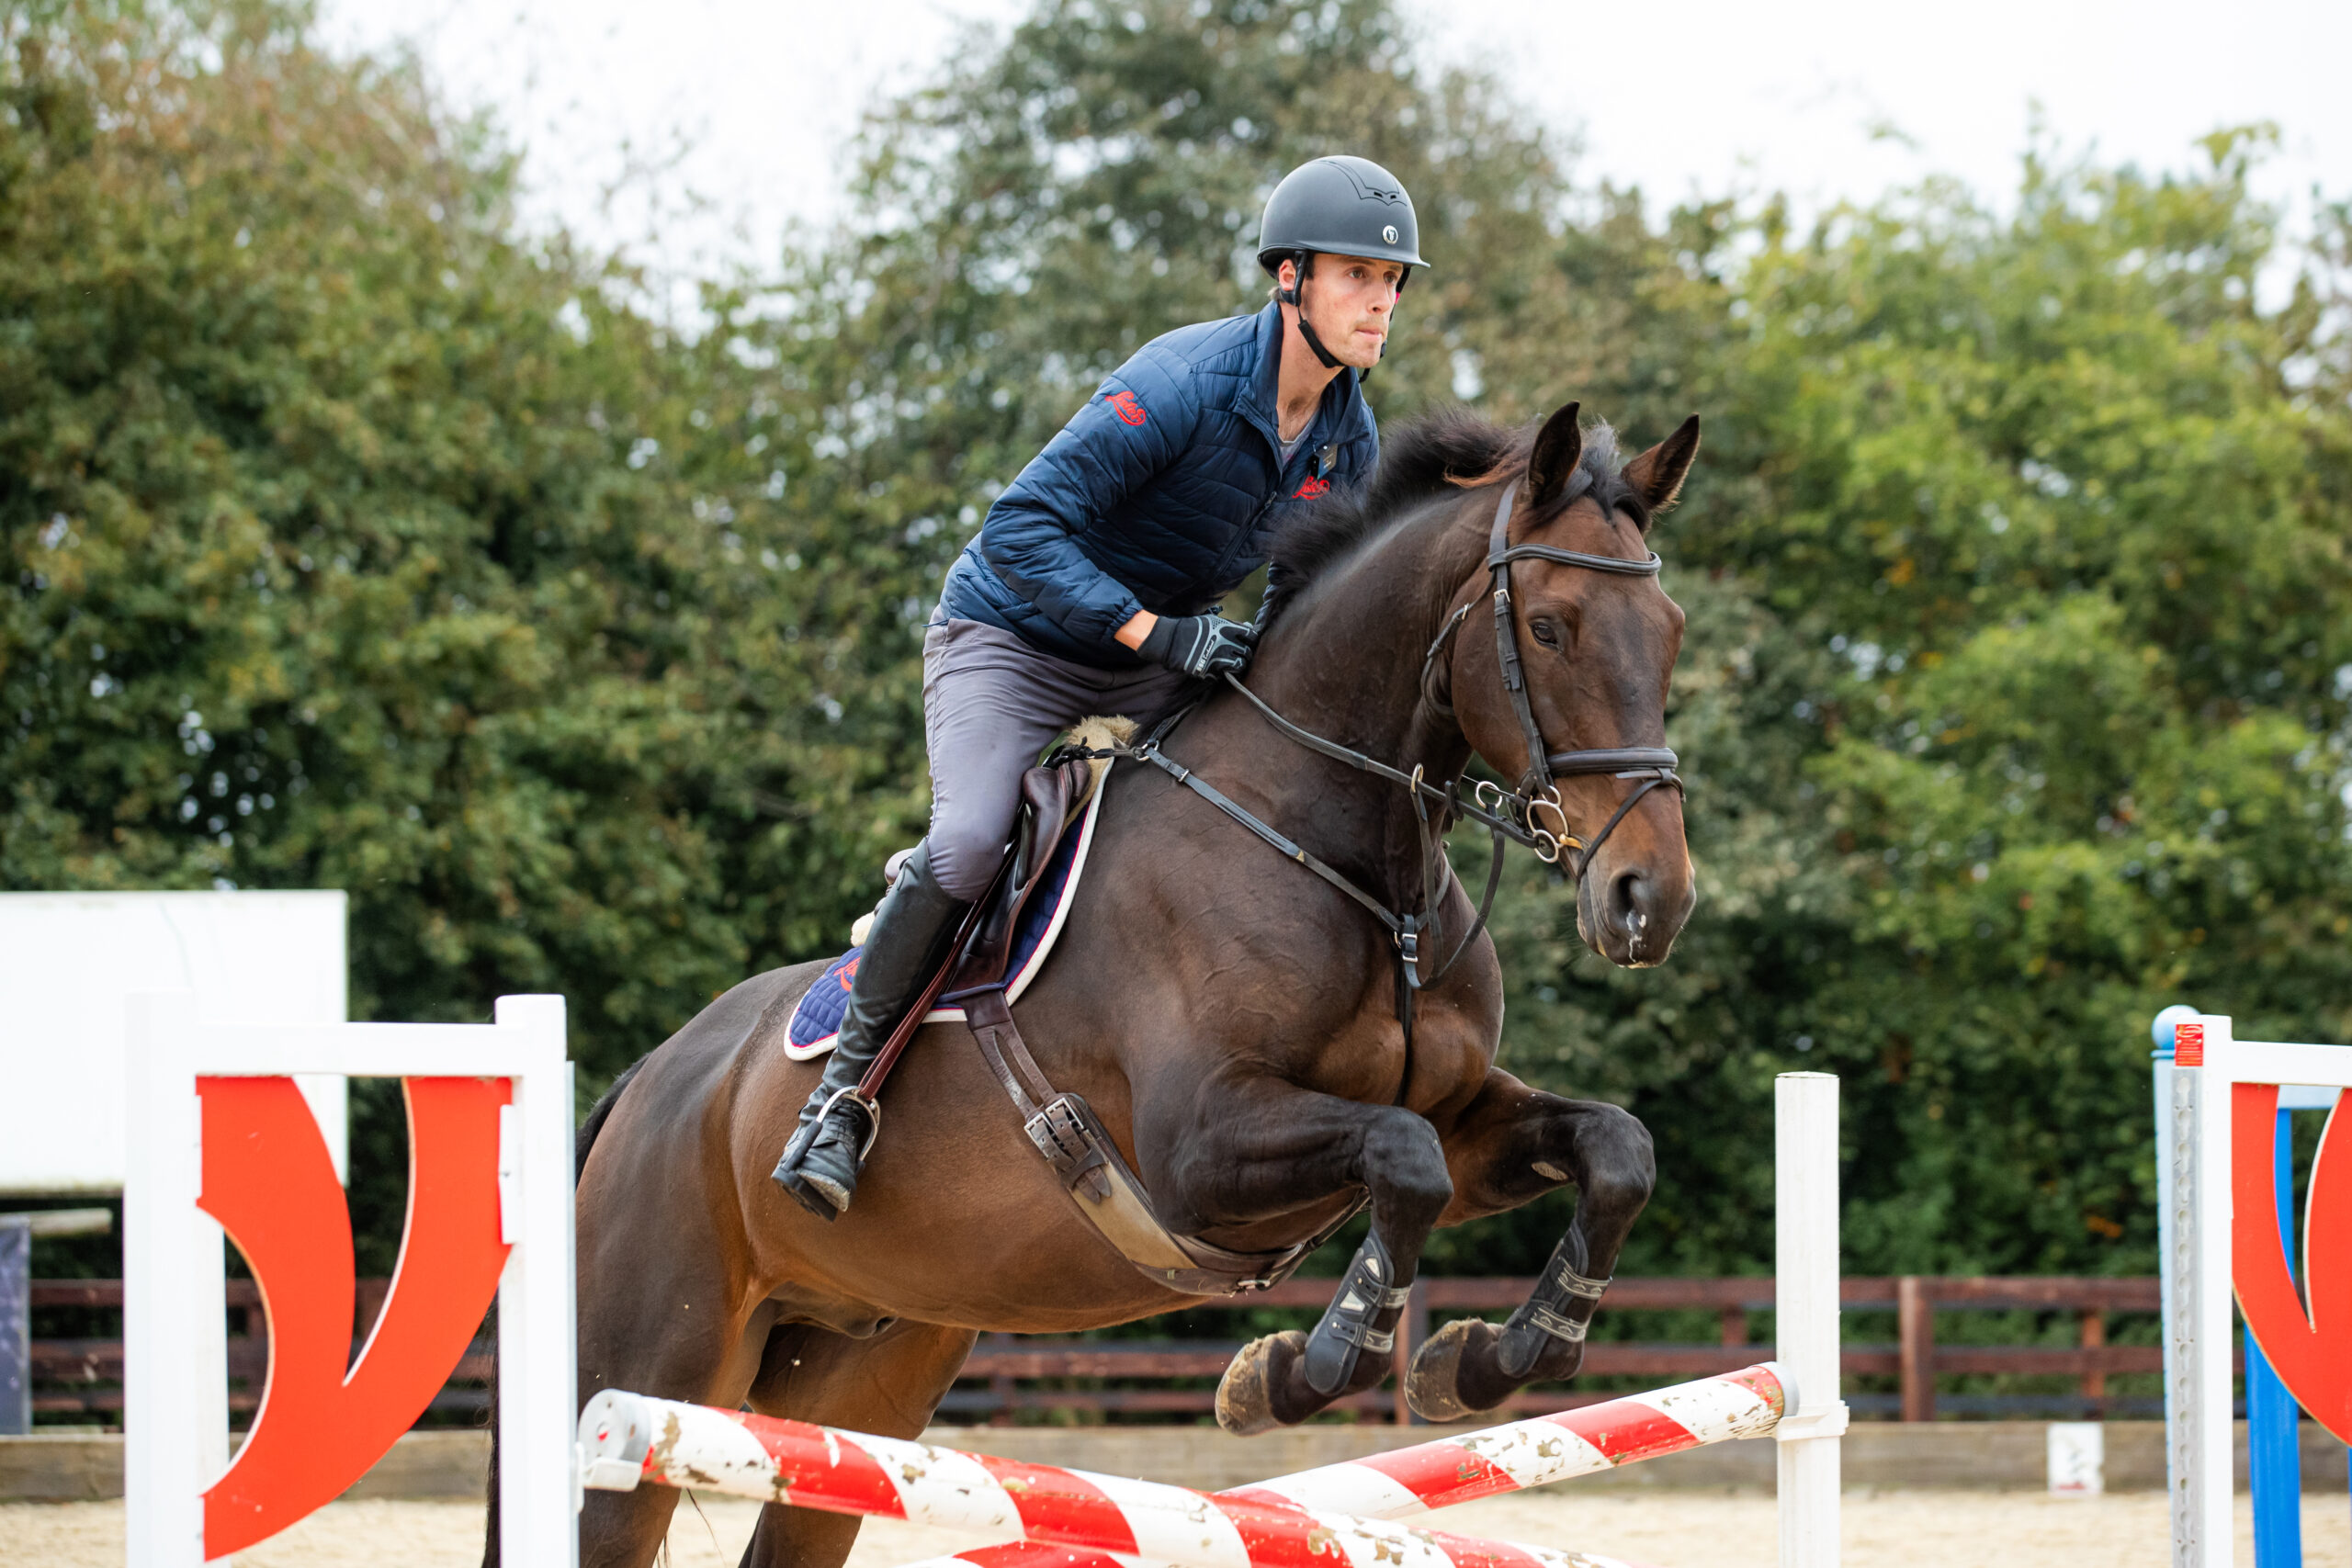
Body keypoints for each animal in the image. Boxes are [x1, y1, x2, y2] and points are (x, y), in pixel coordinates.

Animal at [544, 399, 1702, 1568]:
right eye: (1549, 627)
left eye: (1671, 628)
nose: (1651, 900)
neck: (1358, 868)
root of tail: (654, 1076)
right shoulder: (1201, 1151)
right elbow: (1403, 1163)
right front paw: (1294, 1372)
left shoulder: (1458, 1120)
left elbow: (1612, 1151)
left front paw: (1484, 1359)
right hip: (646, 1373)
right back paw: (825, 1141)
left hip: (858, 1381)